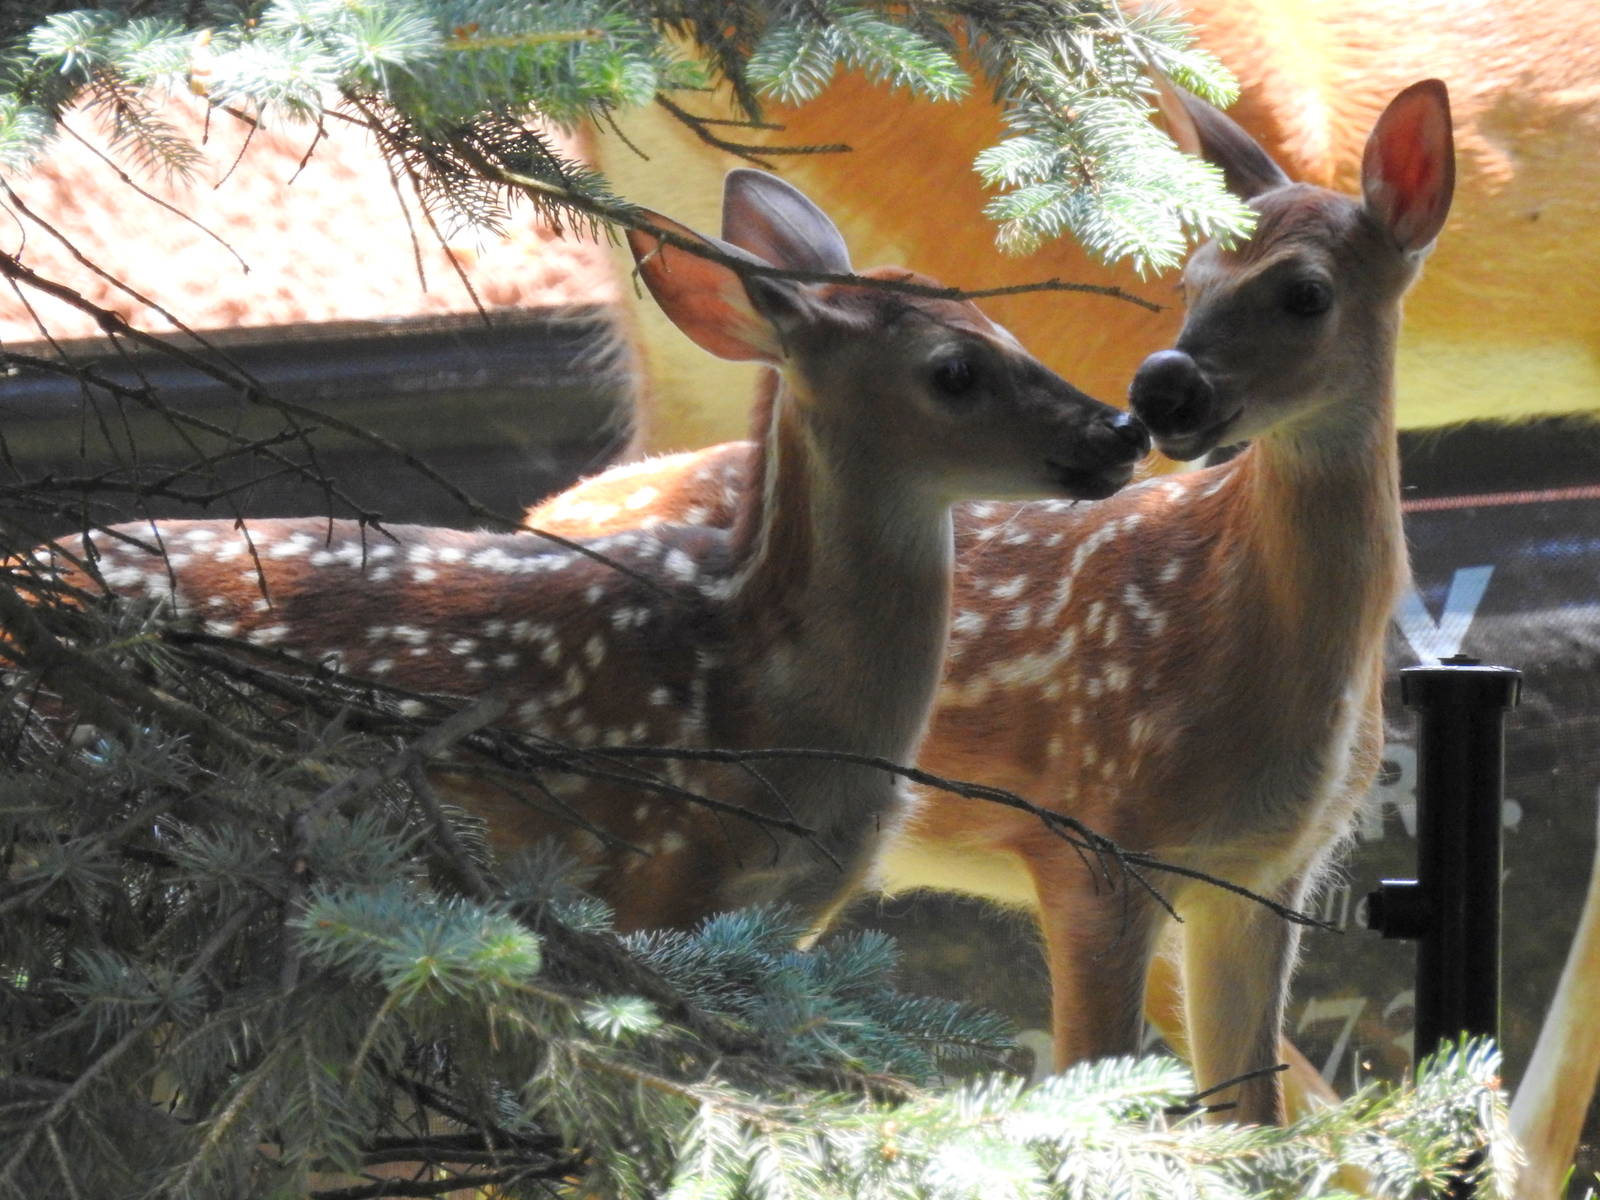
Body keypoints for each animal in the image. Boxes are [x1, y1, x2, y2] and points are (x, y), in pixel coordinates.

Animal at [525, 80, 1455, 1125]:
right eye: (1190, 281)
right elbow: (1098, 1082)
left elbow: (1253, 1121)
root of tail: (542, 508)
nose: (1161, 388)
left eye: (1306, 293)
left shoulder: (1264, 874)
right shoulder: (1095, 840)